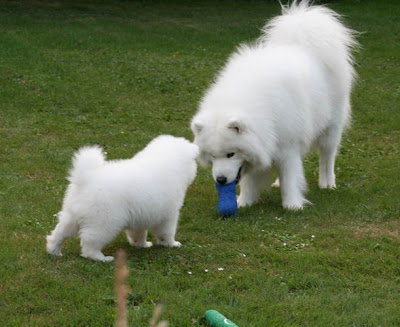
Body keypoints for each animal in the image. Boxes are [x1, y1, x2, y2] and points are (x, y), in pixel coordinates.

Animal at [46, 135, 199, 262]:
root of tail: (85, 179)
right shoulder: (168, 215)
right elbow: (166, 232)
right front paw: (172, 244)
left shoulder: (141, 216)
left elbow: (138, 233)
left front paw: (142, 245)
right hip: (104, 221)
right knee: (89, 243)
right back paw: (102, 258)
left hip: (72, 215)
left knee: (58, 234)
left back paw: (54, 251)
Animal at [191, 0, 360, 210]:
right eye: (212, 156)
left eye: (230, 154)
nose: (220, 180)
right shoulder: (263, 145)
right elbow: (249, 181)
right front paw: (243, 202)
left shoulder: (287, 145)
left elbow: (290, 176)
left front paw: (292, 205)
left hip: (330, 129)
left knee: (327, 157)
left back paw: (327, 183)